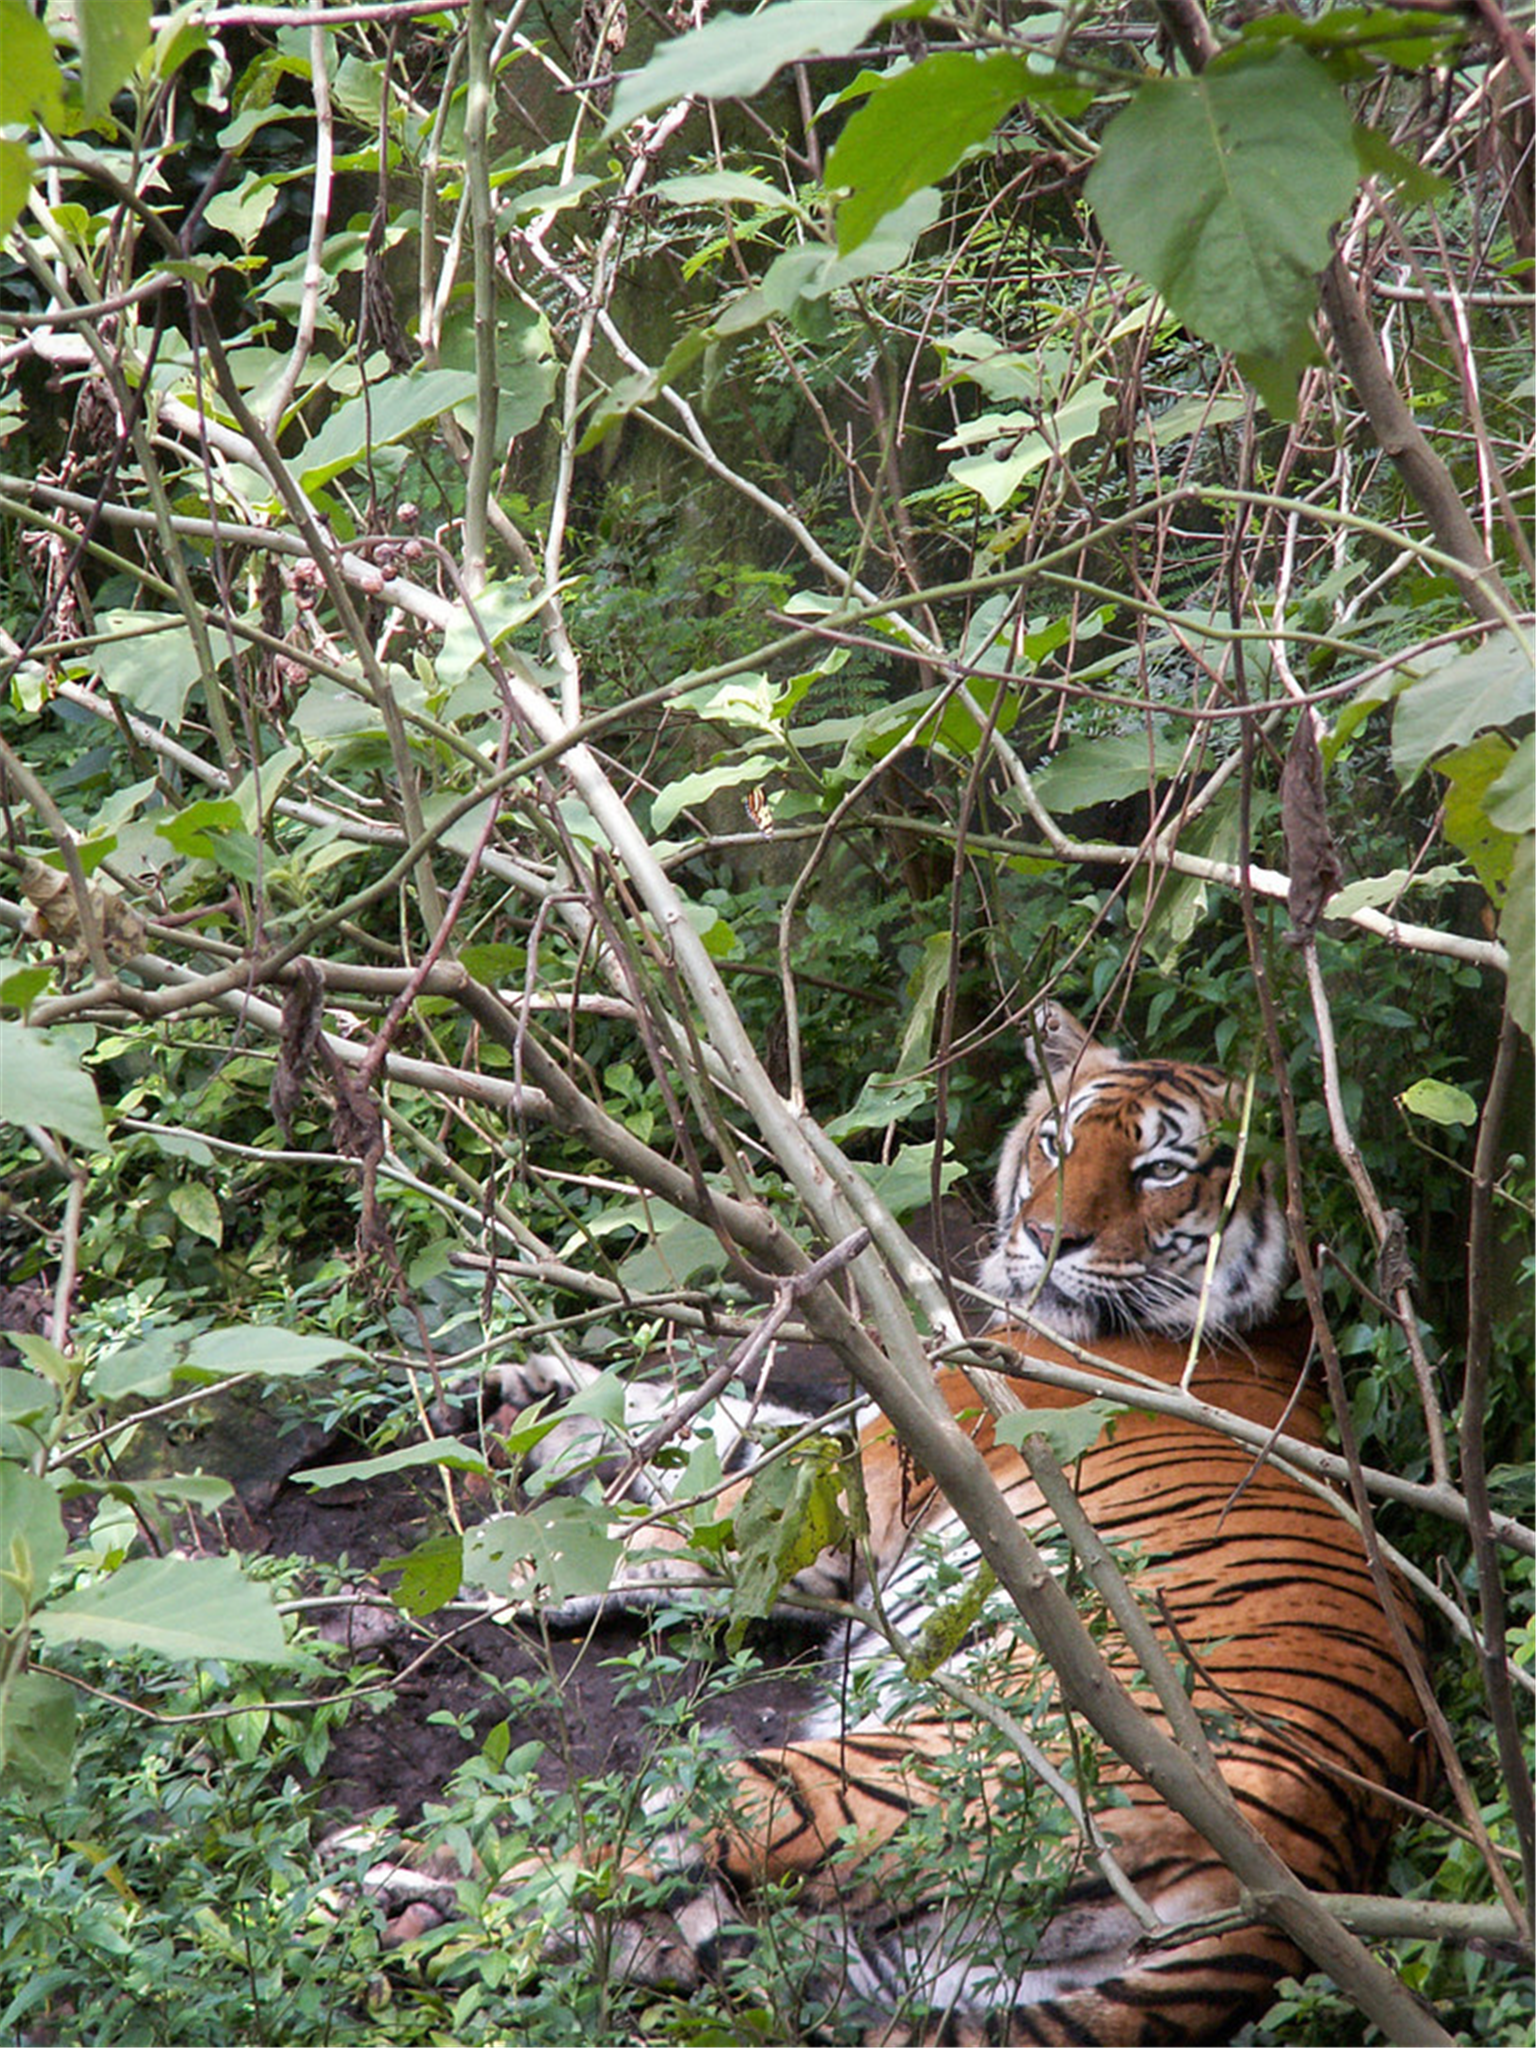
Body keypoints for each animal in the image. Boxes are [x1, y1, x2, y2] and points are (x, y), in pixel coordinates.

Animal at [366, 1003, 1441, 2048]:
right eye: (1056, 1142)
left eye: (1161, 1172)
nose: (1047, 1241)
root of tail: (1289, 1898)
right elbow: (716, 1425)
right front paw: (532, 1403)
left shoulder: (876, 1476)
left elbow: (710, 1499)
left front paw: (514, 1566)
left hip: (853, 1781)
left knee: (586, 1876)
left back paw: (394, 1877)